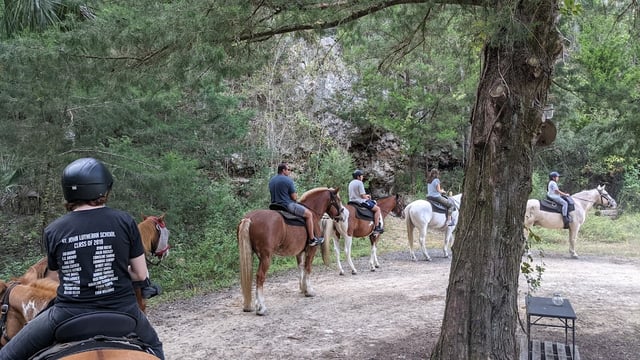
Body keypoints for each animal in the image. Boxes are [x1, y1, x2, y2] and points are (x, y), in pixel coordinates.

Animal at [238, 187, 342, 316]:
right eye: (337, 199)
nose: (341, 214)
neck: (312, 212)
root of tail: (249, 218)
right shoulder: (311, 249)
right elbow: (308, 268)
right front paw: (309, 291)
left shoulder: (299, 252)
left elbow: (301, 267)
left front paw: (303, 288)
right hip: (266, 257)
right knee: (260, 277)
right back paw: (261, 308)